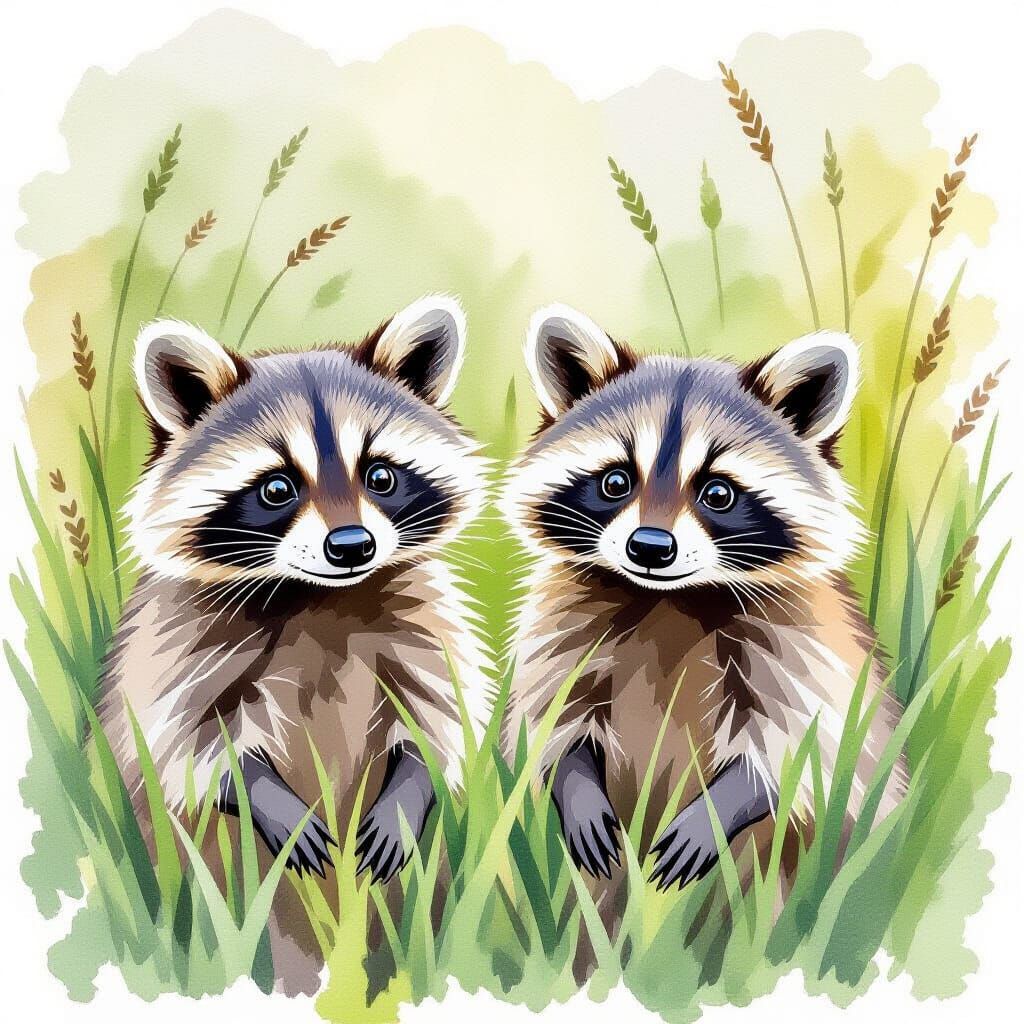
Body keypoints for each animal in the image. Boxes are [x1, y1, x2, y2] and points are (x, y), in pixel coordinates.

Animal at [98, 296, 488, 991]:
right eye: (277, 488)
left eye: (381, 476)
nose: (352, 546)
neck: (320, 596)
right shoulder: (176, 637)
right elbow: (186, 738)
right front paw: (268, 795)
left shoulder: (424, 619)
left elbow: (437, 716)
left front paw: (408, 786)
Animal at [502, 305, 905, 895]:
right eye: (616, 482)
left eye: (717, 493)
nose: (650, 547)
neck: (668, 599)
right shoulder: (563, 626)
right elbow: (552, 722)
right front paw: (577, 789)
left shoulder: (799, 642)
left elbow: (801, 743)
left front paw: (719, 809)